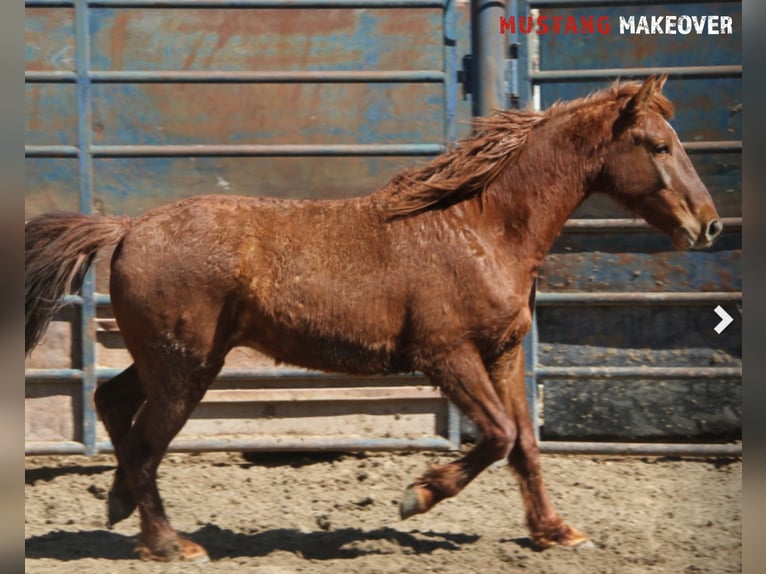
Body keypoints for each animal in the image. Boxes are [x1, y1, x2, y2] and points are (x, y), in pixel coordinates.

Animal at [24, 76, 720, 564]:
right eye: (659, 146)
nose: (708, 225)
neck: (481, 228)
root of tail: (126, 227)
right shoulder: (446, 355)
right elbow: (497, 435)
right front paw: (417, 495)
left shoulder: (504, 353)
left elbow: (524, 443)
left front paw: (556, 532)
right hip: (185, 370)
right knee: (145, 443)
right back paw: (170, 544)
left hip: (171, 360)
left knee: (112, 402)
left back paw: (120, 508)